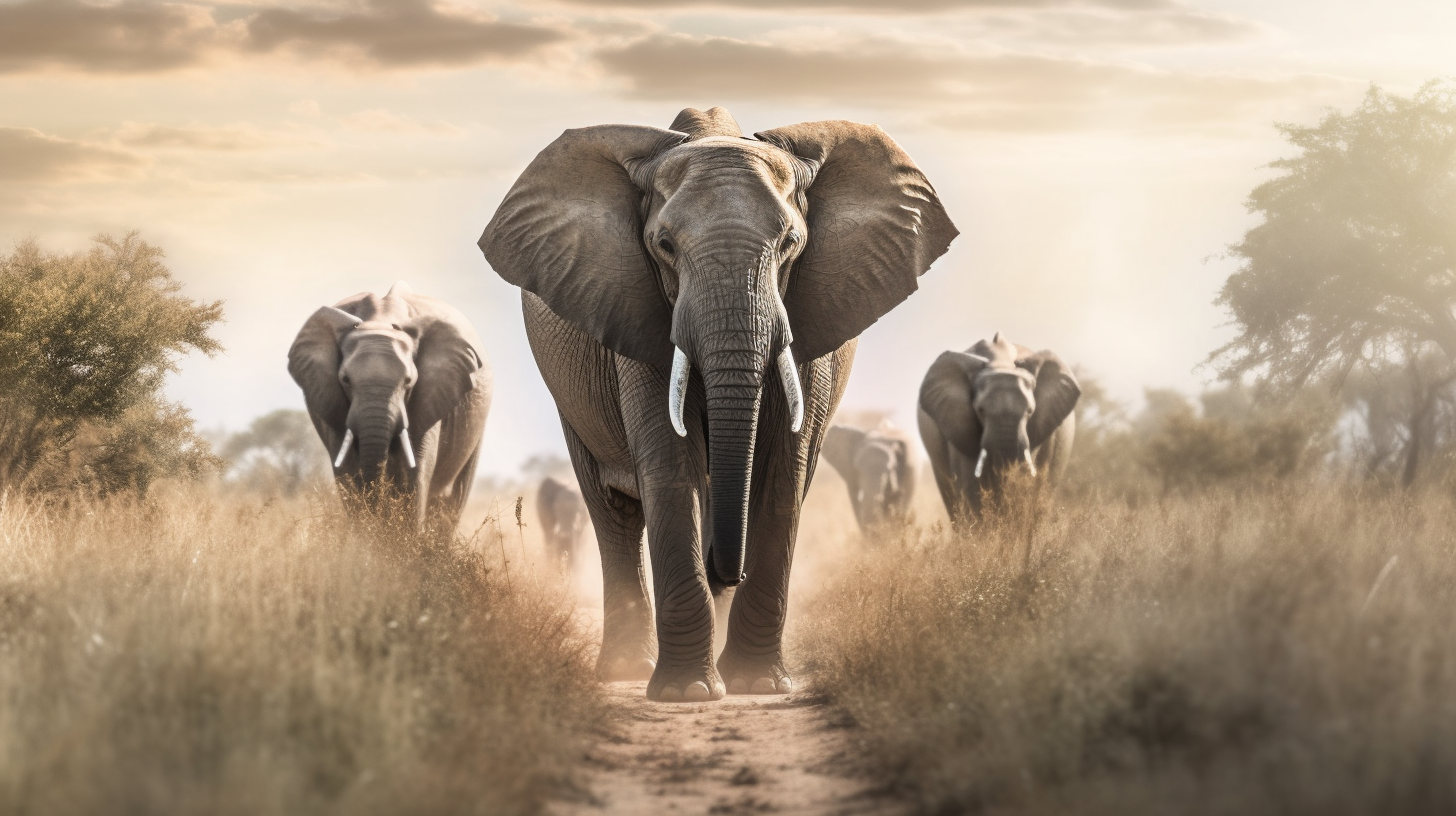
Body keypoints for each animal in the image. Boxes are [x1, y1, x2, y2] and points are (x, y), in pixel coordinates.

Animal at [287, 282, 492, 530]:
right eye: (345, 380)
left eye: (408, 381)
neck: (381, 319)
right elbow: (347, 472)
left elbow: (416, 470)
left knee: (455, 495)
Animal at [478, 106, 956, 701]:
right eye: (664, 245)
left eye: (790, 244)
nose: (728, 570)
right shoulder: (635, 311)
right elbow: (669, 466)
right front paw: (686, 693)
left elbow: (782, 473)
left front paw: (758, 684)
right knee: (612, 513)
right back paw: (626, 669)